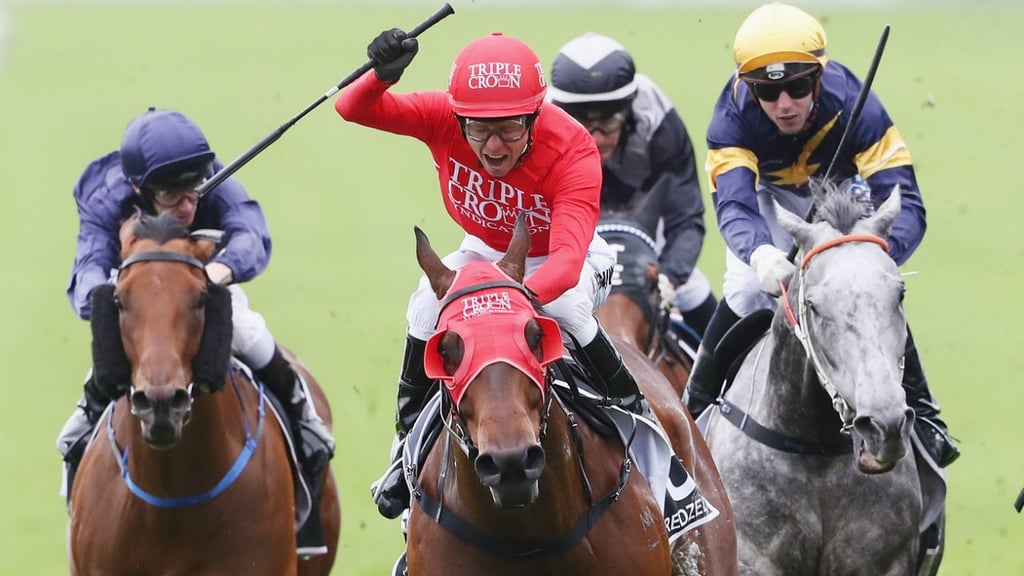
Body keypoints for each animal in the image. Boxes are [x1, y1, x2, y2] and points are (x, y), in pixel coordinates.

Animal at [704, 184, 942, 573]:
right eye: (813, 305)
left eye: (900, 293)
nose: (884, 425)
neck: (815, 451)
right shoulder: (750, 555)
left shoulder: (880, 559)